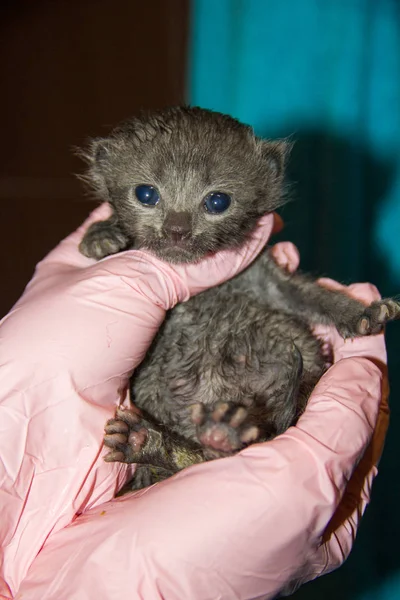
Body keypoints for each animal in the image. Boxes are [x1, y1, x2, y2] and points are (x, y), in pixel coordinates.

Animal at [79, 108, 400, 490]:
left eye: (218, 201)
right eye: (146, 194)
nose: (177, 230)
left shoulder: (262, 276)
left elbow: (306, 295)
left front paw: (360, 313)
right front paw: (100, 235)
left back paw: (205, 435)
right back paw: (155, 442)